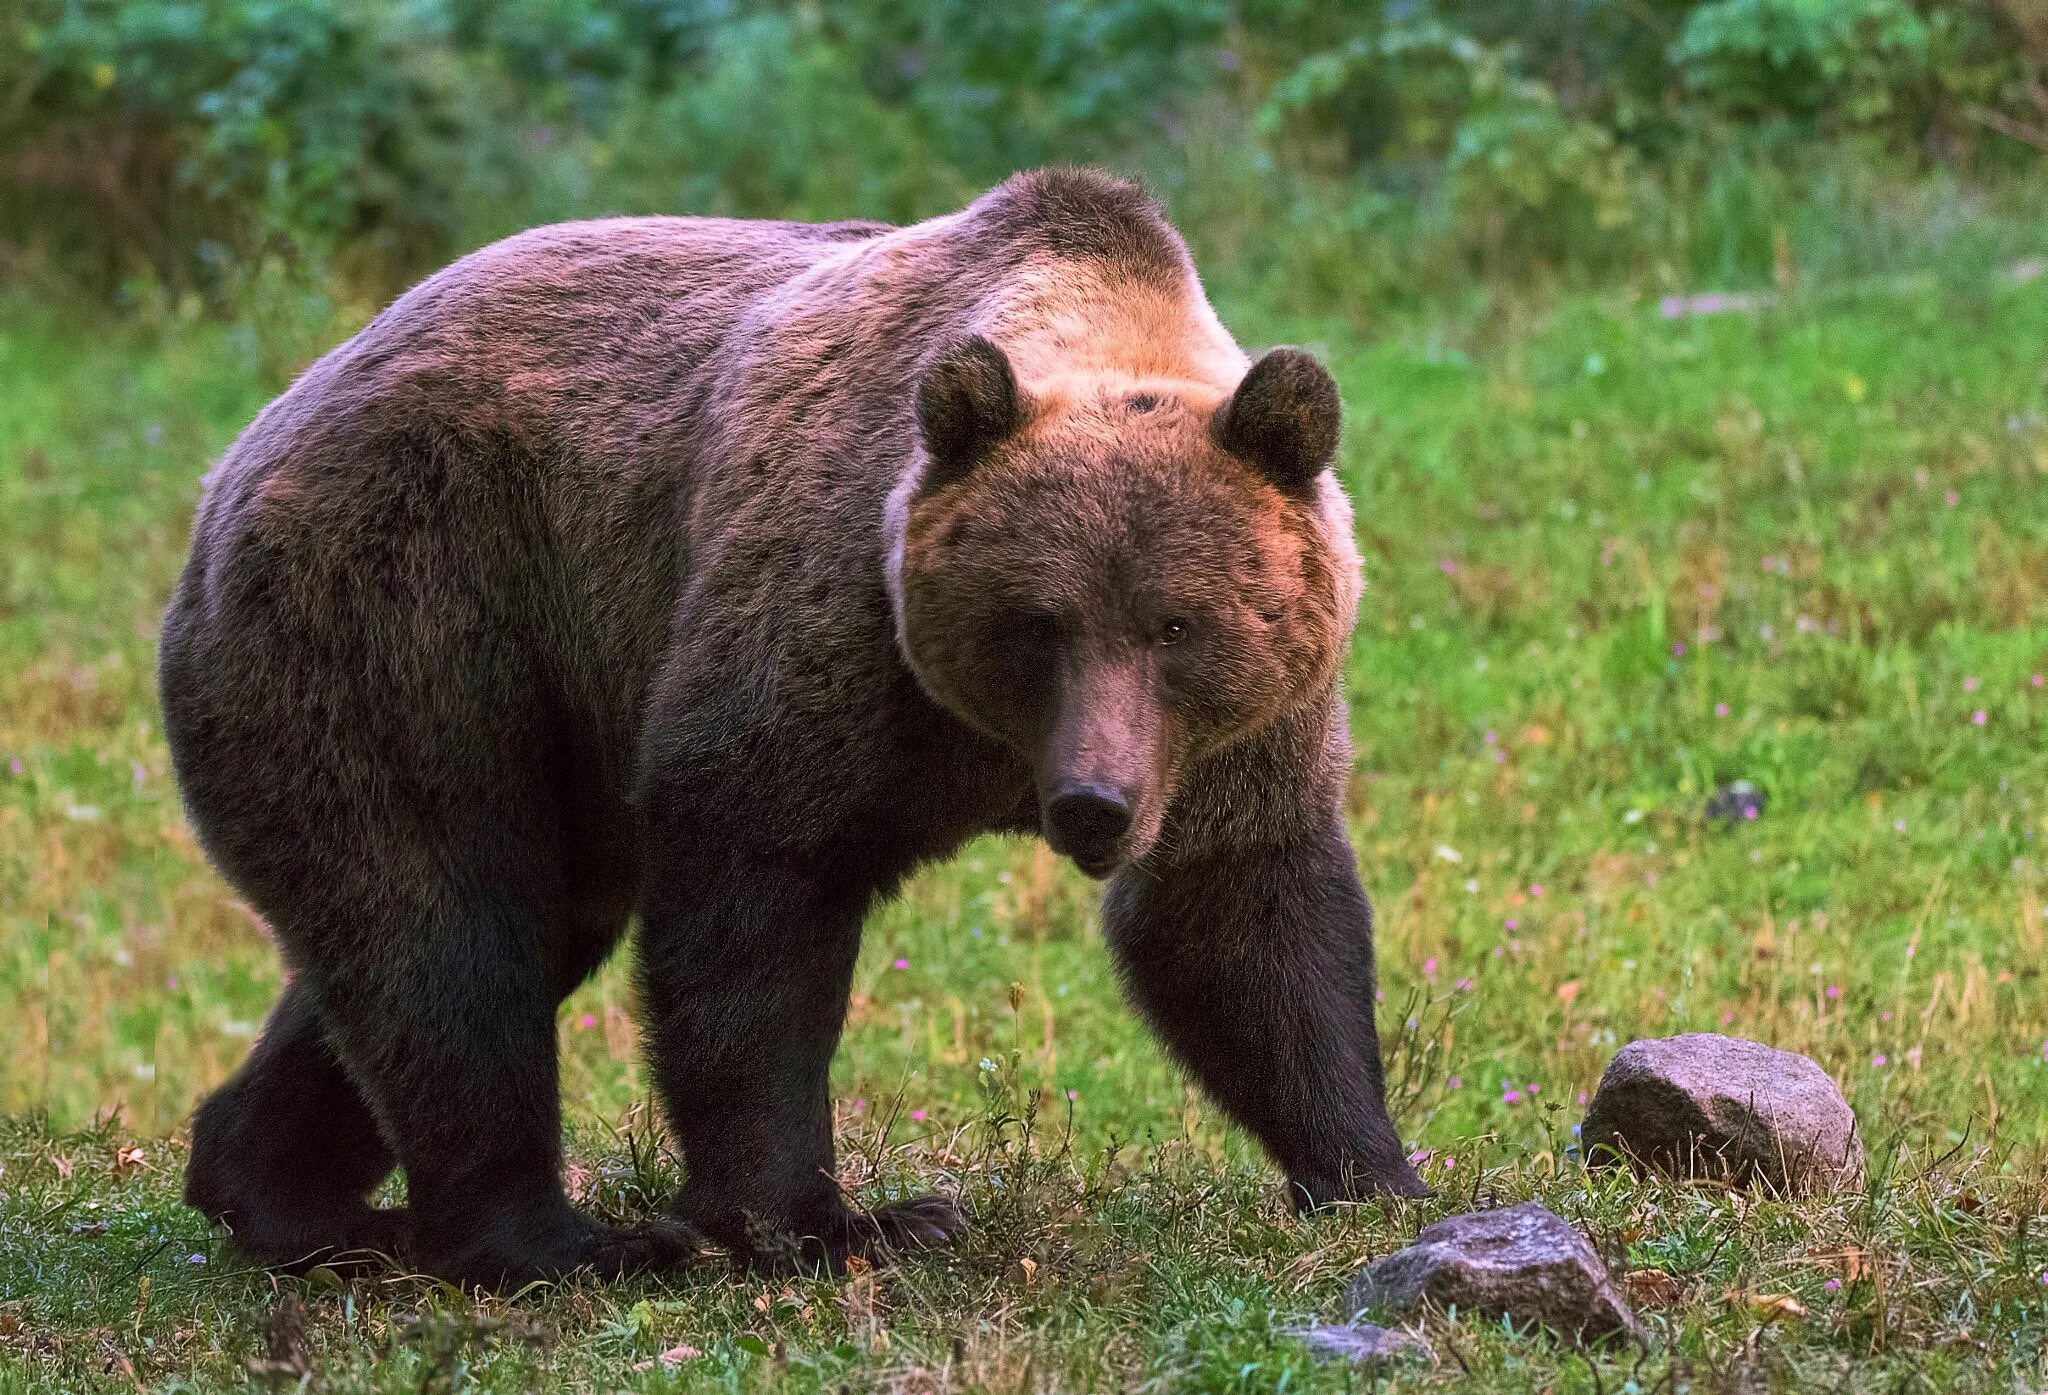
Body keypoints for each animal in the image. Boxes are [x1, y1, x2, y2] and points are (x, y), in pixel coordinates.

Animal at [159, 168, 1425, 1286]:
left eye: (1175, 623)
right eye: (1035, 623)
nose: (1089, 806)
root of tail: (243, 452)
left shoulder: (1237, 736)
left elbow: (1244, 921)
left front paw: (1371, 1173)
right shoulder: (827, 635)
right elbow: (755, 899)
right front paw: (834, 1221)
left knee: (490, 927)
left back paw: (289, 1196)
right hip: (413, 614)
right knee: (447, 920)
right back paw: (556, 1243)